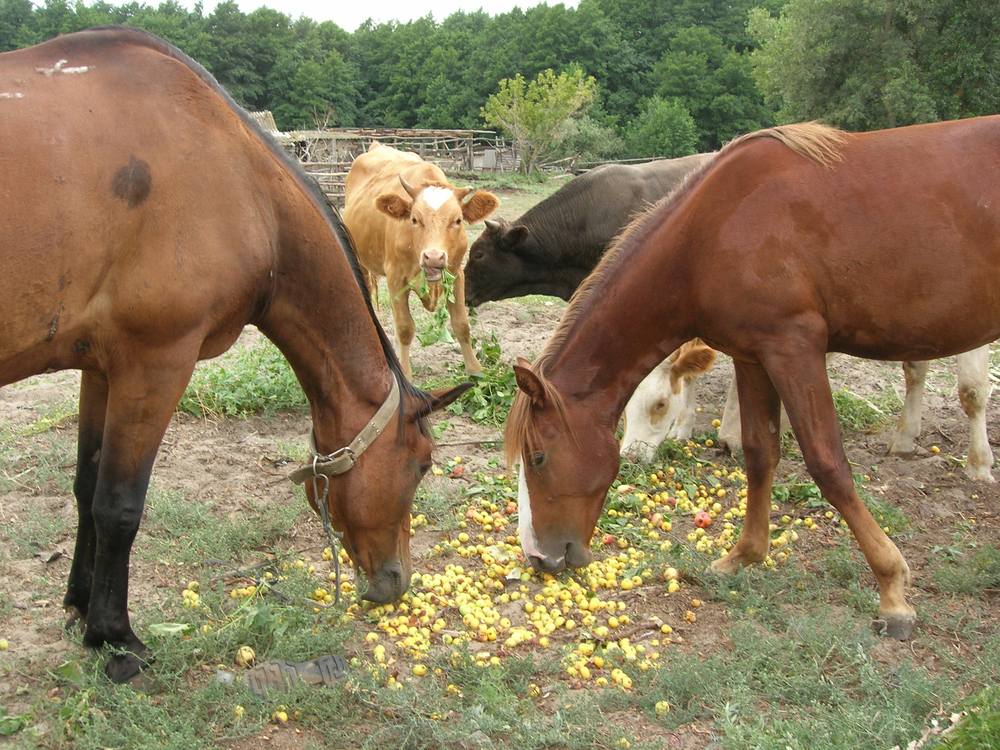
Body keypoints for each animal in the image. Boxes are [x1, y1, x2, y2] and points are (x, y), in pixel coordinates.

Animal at [0, 27, 468, 688]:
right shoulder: (154, 364)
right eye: (423, 465)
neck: (240, 182)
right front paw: (115, 640)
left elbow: (87, 487)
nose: (395, 583)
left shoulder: (101, 366)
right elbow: (119, 505)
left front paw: (79, 609)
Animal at [344, 141, 500, 378]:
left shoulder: (456, 273)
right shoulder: (396, 277)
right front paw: (406, 375)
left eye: (458, 220)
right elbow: (405, 328)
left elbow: (461, 324)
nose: (433, 256)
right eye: (414, 219)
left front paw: (476, 372)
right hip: (360, 260)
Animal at [504, 116, 1000, 640]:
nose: (538, 557)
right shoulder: (754, 356)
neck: (711, 234)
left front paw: (892, 592)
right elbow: (760, 453)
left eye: (537, 458)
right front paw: (744, 555)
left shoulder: (794, 349)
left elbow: (829, 466)